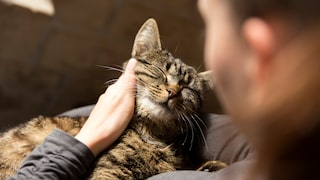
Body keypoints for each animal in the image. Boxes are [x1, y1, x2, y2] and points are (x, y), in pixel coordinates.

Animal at [0, 17, 220, 179]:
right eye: (160, 71)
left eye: (187, 88)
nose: (173, 91)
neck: (154, 136)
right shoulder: (108, 171)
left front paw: (210, 166)